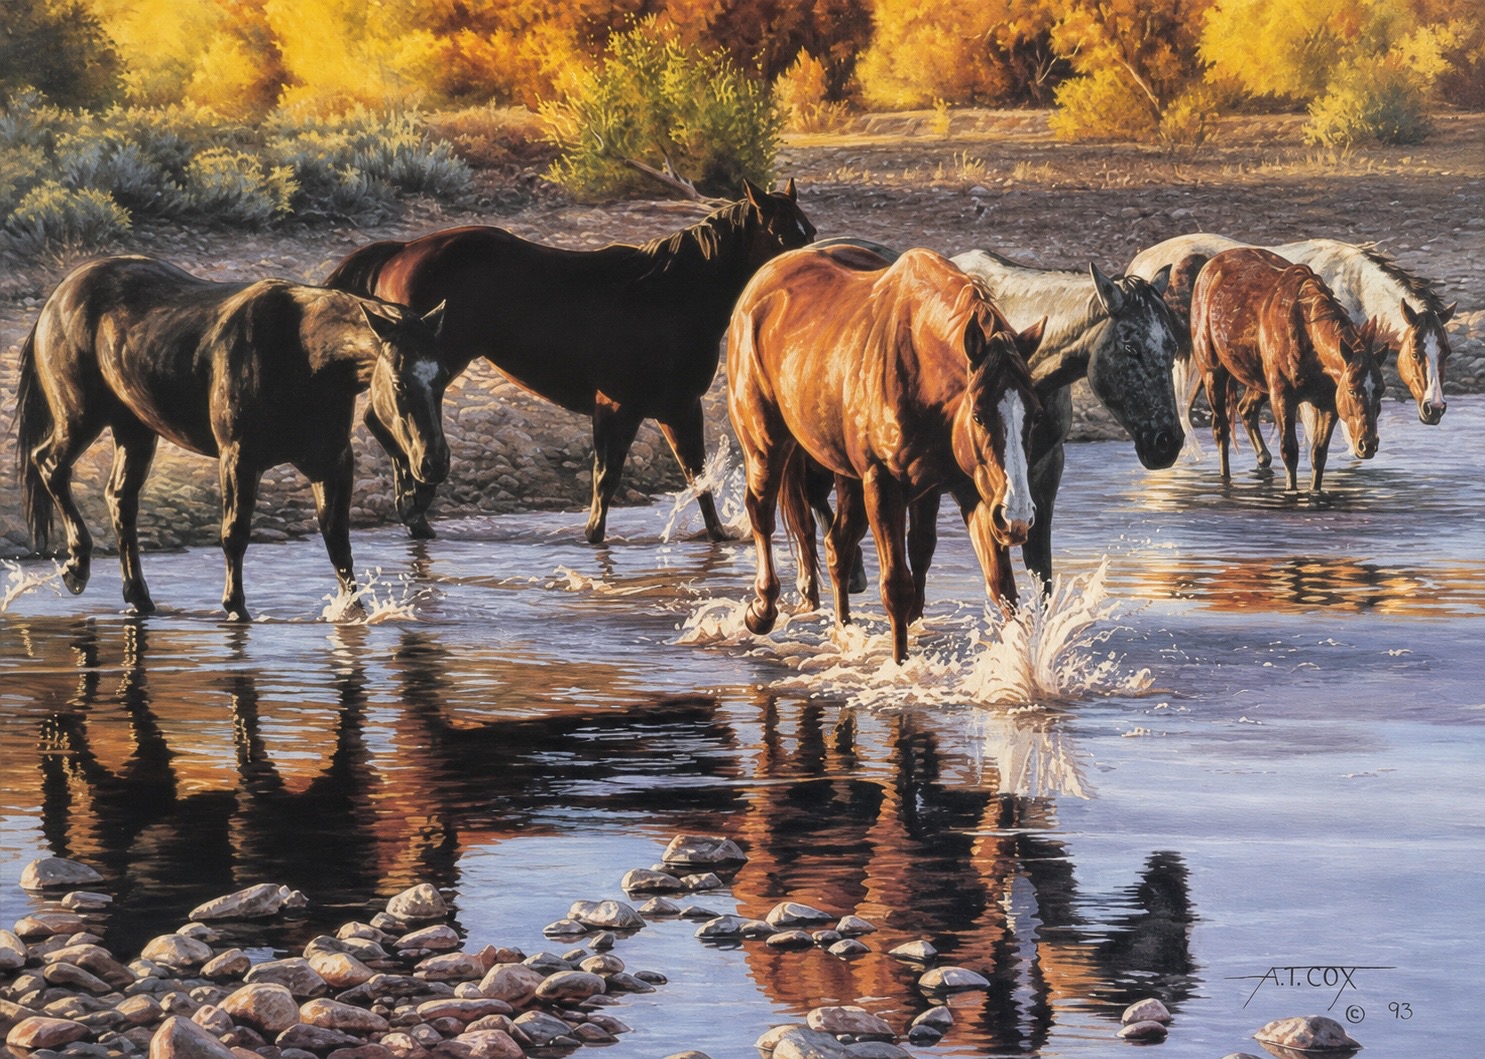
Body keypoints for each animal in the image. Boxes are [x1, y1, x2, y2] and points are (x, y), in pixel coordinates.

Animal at [14, 255, 450, 620]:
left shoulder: (332, 464)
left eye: (442, 379)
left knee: (121, 499)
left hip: (135, 430)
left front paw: (352, 612)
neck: (303, 352)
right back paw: (77, 566)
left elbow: (338, 540)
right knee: (50, 464)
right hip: (80, 417)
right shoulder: (240, 459)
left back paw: (138, 597)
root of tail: (59, 297)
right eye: (399, 383)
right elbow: (235, 533)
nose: (434, 463)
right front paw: (235, 608)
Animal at [324, 179, 816, 544]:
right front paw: (594, 535)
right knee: (386, 417)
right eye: (780, 232)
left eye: (807, 229)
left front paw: (717, 535)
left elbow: (697, 476)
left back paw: (416, 510)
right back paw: (415, 502)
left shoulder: (678, 407)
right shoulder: (618, 406)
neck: (668, 294)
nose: (809, 271)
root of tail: (401, 250)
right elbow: (606, 476)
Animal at [727, 244, 1043, 664]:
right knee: (761, 511)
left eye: (1035, 415)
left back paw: (843, 629)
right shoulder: (883, 485)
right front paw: (900, 665)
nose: (1018, 518)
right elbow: (897, 587)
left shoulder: (972, 492)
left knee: (837, 544)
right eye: (978, 414)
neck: (918, 365)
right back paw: (762, 610)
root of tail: (760, 285)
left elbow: (1001, 587)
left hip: (847, 477)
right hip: (765, 445)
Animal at [1190, 248, 1385, 494]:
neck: (1304, 331)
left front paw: (1315, 491)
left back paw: (1262, 461)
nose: (1367, 445)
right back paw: (1225, 479)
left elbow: (1318, 453)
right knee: (1221, 430)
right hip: (1213, 374)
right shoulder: (1283, 398)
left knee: (1246, 410)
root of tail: (1210, 266)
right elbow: (1289, 452)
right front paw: (1291, 491)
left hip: (1259, 383)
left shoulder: (1328, 404)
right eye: (1351, 389)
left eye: (1380, 390)